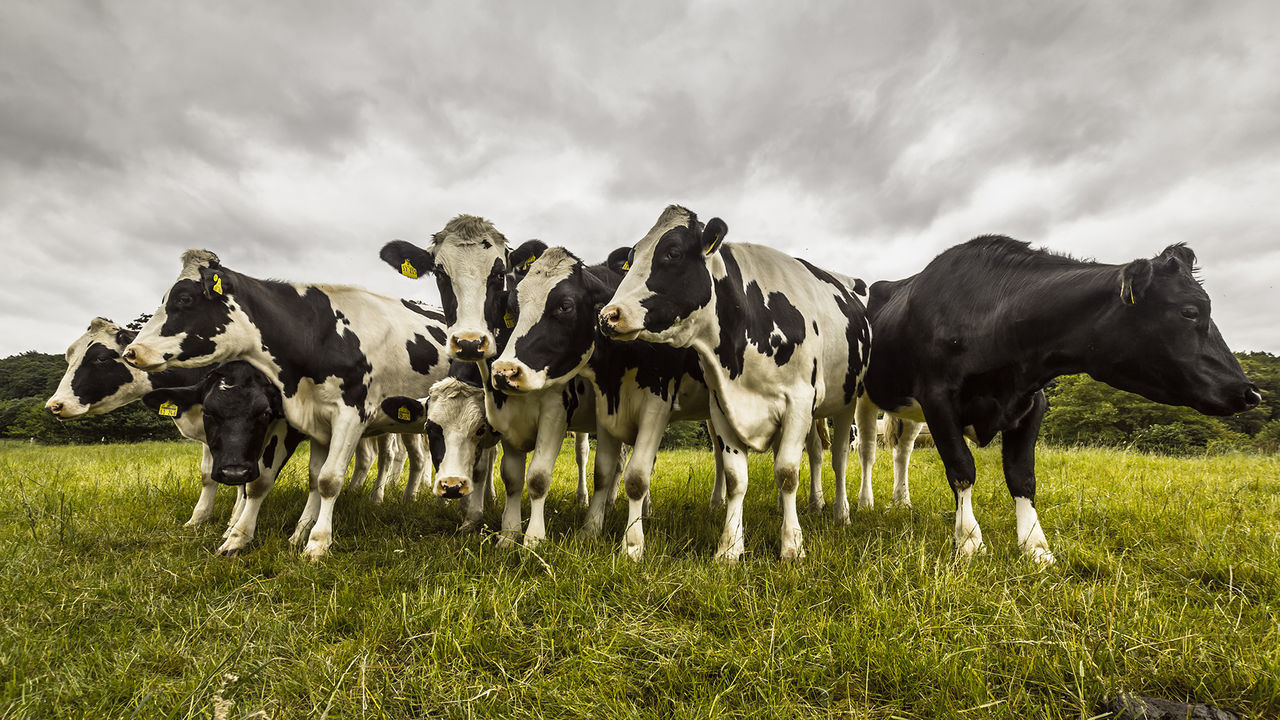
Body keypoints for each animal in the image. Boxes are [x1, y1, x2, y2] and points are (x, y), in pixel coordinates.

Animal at [120, 249, 450, 558]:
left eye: (184, 298)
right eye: (209, 412)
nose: (132, 351)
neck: (319, 334)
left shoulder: (351, 414)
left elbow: (330, 480)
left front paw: (317, 543)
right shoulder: (311, 419)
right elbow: (296, 479)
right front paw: (253, 536)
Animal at [599, 204, 870, 558]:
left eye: (672, 253)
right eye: (631, 259)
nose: (609, 315)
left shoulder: (799, 401)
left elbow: (787, 472)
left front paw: (792, 545)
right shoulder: (723, 403)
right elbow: (735, 477)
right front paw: (729, 548)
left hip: (846, 401)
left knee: (838, 458)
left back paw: (841, 513)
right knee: (815, 452)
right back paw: (813, 505)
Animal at [849, 235, 1259, 561]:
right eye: (1190, 311)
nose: (1250, 391)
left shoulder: (1031, 404)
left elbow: (1022, 476)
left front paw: (1035, 546)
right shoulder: (938, 398)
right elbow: (962, 469)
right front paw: (969, 541)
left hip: (909, 409)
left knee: (902, 451)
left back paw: (901, 501)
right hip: (864, 397)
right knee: (868, 449)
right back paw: (867, 502)